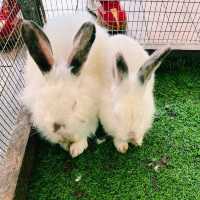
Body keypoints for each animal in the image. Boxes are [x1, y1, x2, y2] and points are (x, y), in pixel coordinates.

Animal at [20, 14, 111, 158]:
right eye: (46, 104)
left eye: (75, 104)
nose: (58, 128)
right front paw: (64, 145)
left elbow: (83, 134)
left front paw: (76, 149)